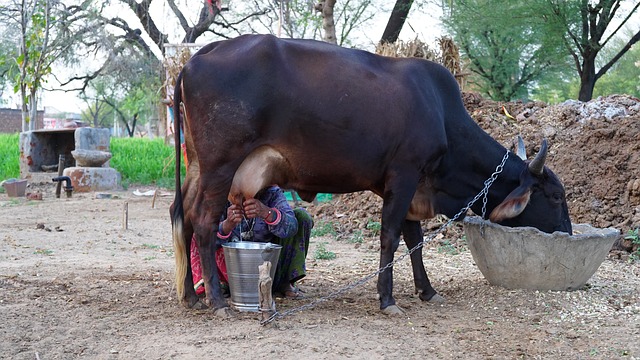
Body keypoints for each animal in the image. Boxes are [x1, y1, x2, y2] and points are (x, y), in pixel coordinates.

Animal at [169, 33, 568, 316]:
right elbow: (391, 237)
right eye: (556, 196)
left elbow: (413, 239)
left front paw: (427, 290)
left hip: (198, 167)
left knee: (181, 216)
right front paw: (387, 299)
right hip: (221, 165)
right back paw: (217, 301)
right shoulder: (404, 175)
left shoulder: (407, 187)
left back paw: (190, 296)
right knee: (203, 223)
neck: (441, 114)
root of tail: (196, 59)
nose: (566, 232)